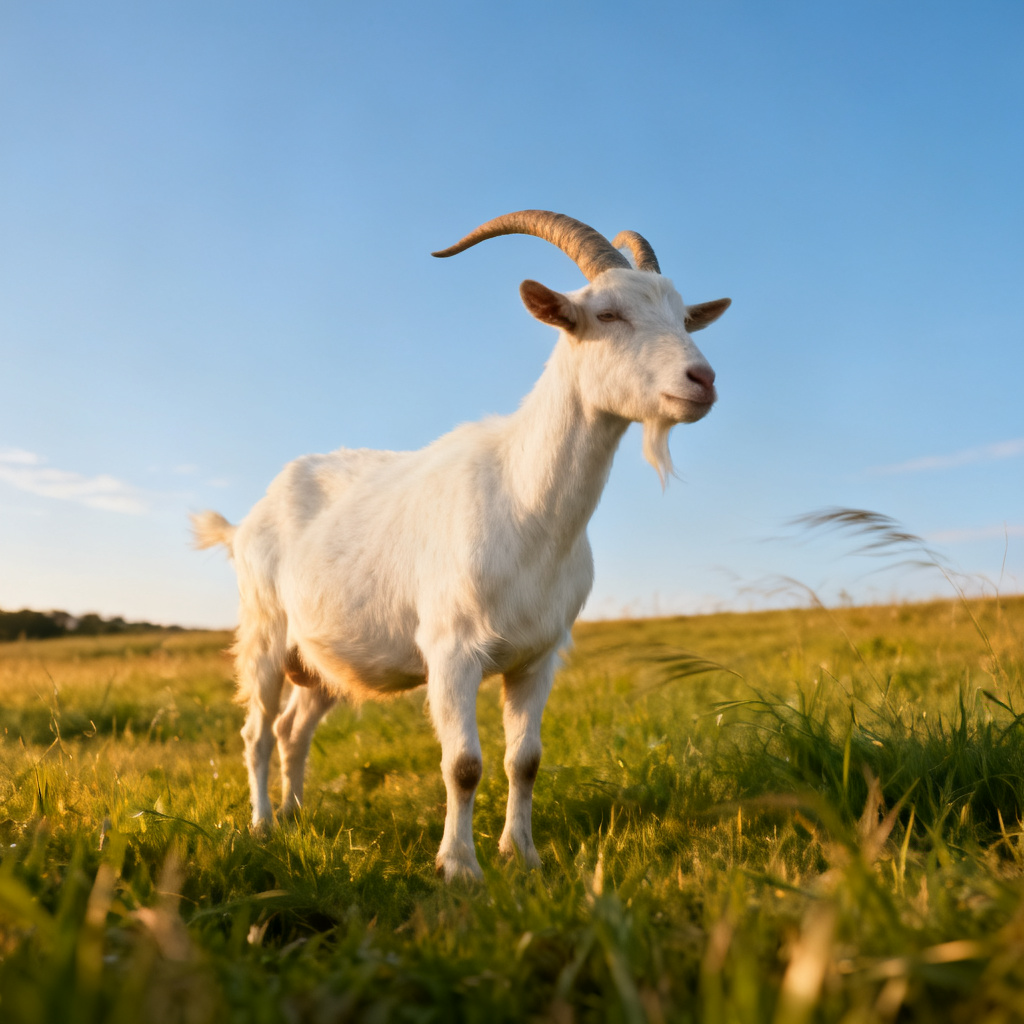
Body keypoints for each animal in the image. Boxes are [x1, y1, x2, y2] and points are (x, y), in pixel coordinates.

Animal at [192, 210, 730, 881]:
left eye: (684, 317)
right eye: (607, 314)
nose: (702, 379)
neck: (526, 505)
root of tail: (245, 523)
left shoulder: (538, 657)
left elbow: (525, 760)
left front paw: (522, 856)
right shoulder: (451, 652)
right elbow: (464, 765)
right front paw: (459, 868)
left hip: (320, 662)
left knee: (295, 729)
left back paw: (294, 816)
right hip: (264, 632)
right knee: (258, 732)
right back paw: (263, 825)